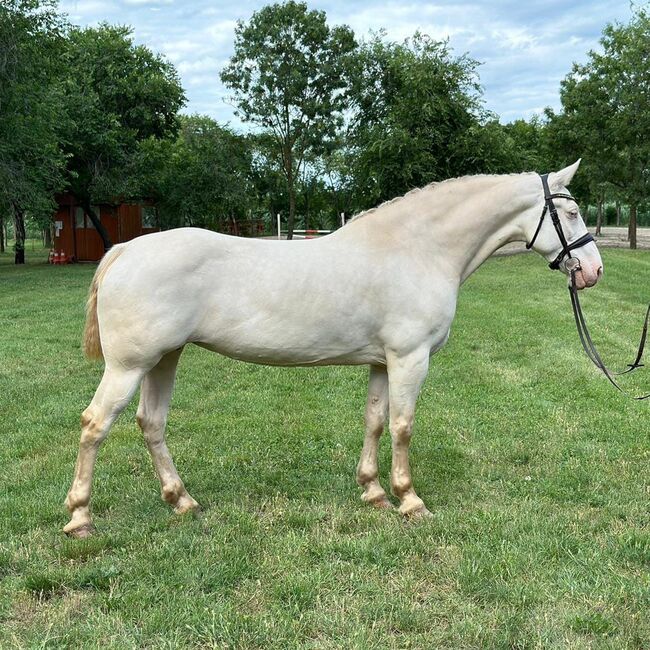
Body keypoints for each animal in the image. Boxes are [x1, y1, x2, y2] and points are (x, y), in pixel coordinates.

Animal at [63, 161, 600, 536]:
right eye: (572, 212)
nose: (593, 271)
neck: (416, 249)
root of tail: (126, 249)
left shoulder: (383, 362)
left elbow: (376, 421)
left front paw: (373, 492)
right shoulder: (410, 359)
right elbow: (403, 427)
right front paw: (409, 501)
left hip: (164, 360)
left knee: (151, 424)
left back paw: (181, 500)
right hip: (130, 366)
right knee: (95, 425)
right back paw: (80, 518)